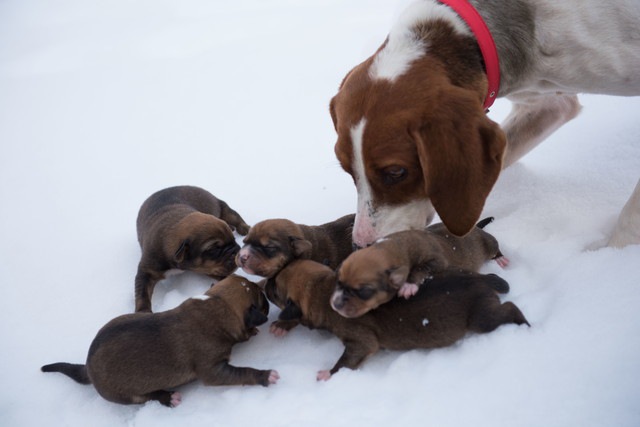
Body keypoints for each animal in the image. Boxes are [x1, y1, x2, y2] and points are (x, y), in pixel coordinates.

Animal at [41, 276, 278, 410]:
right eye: (262, 303)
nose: (268, 302)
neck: (218, 303)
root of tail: (88, 368)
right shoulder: (213, 370)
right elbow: (241, 372)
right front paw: (266, 375)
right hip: (126, 394)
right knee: (147, 397)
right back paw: (169, 397)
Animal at [262, 260, 528, 382]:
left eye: (275, 291)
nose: (265, 285)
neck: (322, 289)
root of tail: (480, 281)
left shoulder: (361, 341)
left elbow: (347, 359)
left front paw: (328, 373)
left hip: (481, 318)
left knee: (508, 309)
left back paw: (524, 324)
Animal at [330, 0, 640, 249]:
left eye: (396, 172)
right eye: (347, 170)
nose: (360, 246)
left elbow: (631, 218)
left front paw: (609, 255)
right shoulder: (547, 105)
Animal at [332, 217, 508, 318]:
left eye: (364, 291)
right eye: (338, 282)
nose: (335, 304)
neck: (393, 245)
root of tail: (475, 227)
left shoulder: (438, 261)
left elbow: (422, 268)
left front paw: (408, 286)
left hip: (488, 243)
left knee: (495, 247)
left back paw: (501, 258)